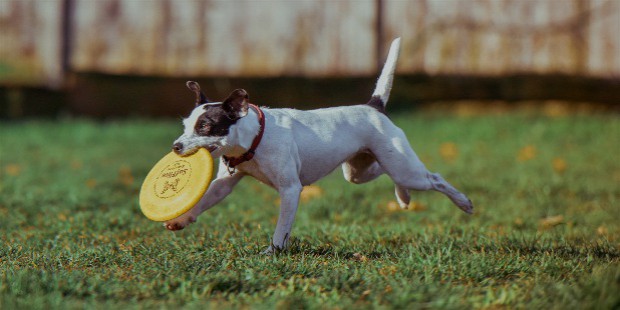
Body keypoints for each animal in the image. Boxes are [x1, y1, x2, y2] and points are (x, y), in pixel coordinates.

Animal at [165, 38, 474, 254]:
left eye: (205, 127)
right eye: (185, 125)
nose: (176, 146)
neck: (254, 139)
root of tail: (373, 106)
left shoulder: (290, 190)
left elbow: (282, 227)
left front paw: (273, 251)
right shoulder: (224, 183)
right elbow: (205, 199)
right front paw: (181, 219)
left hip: (404, 168)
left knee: (434, 178)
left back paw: (463, 202)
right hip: (359, 171)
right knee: (385, 173)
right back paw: (403, 197)